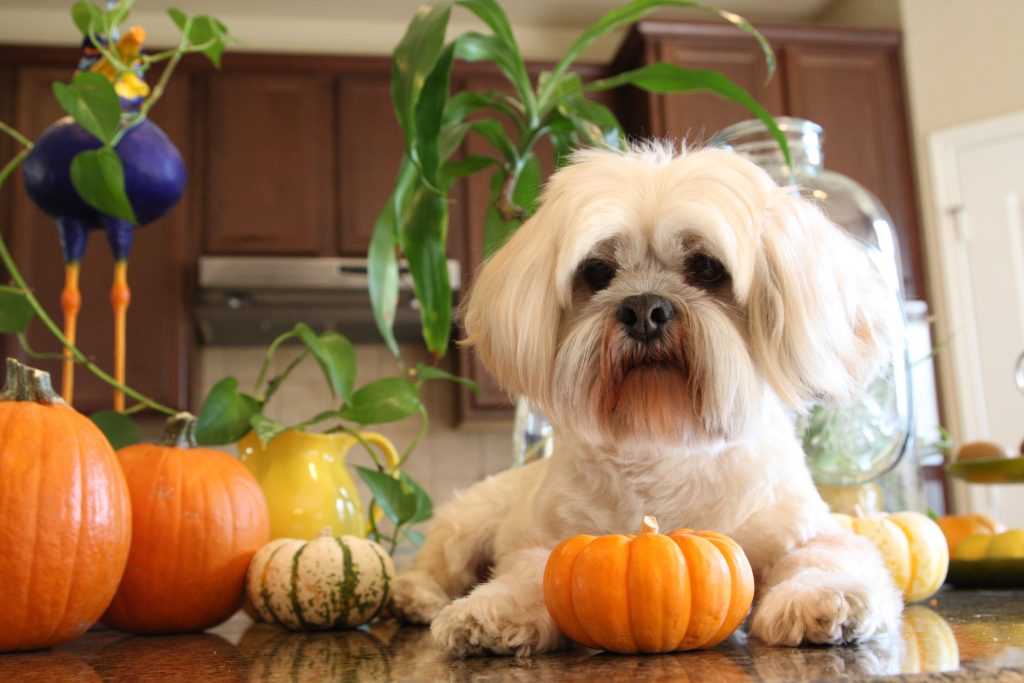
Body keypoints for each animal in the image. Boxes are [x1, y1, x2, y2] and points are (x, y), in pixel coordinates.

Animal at [387, 143, 901, 655]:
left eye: (706, 267)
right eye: (597, 272)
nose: (643, 309)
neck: (664, 439)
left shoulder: (810, 531)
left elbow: (825, 559)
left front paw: (824, 597)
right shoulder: (548, 543)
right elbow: (530, 575)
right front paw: (493, 610)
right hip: (466, 524)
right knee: (434, 565)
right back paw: (415, 595)